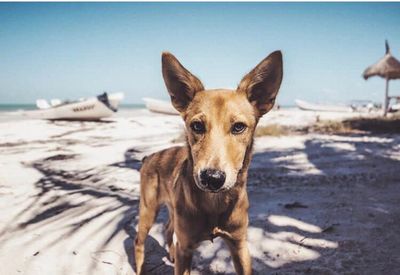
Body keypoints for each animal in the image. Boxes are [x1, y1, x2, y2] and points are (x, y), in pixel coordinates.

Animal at [133, 50, 282, 274]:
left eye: (239, 127)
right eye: (196, 125)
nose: (212, 178)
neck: (214, 203)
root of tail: (150, 157)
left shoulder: (239, 246)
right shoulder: (185, 248)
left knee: (167, 230)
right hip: (148, 210)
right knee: (139, 242)